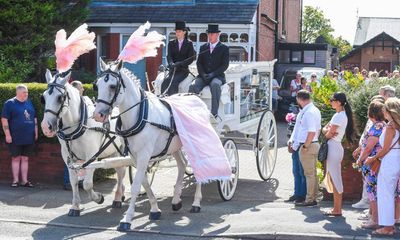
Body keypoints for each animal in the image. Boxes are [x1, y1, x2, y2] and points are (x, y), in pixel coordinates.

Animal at [40, 69, 126, 216]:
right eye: (43, 98)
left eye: (60, 98)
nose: (46, 127)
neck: (79, 125)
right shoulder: (68, 158)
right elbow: (74, 182)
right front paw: (75, 206)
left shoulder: (91, 157)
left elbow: (87, 184)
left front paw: (99, 198)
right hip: (113, 152)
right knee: (119, 170)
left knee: (122, 172)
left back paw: (118, 199)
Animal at [92, 59, 202, 231]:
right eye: (96, 85)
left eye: (112, 86)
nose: (98, 115)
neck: (140, 115)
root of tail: (196, 97)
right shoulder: (135, 156)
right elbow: (144, 181)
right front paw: (155, 209)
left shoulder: (144, 155)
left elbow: (137, 185)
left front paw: (127, 219)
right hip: (175, 147)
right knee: (182, 165)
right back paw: (176, 200)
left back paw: (196, 203)